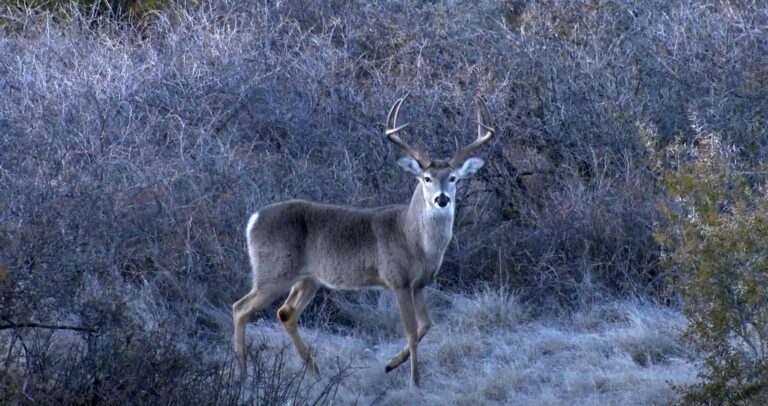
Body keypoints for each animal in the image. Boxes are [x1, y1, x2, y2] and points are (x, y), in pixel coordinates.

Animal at [231, 96, 496, 386]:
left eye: (453, 178)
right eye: (426, 178)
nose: (442, 199)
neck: (413, 237)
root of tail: (253, 220)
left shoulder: (419, 284)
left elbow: (426, 325)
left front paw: (391, 364)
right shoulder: (397, 280)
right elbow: (412, 332)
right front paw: (414, 381)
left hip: (308, 278)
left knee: (285, 313)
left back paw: (314, 372)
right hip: (274, 271)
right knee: (240, 307)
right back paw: (241, 374)